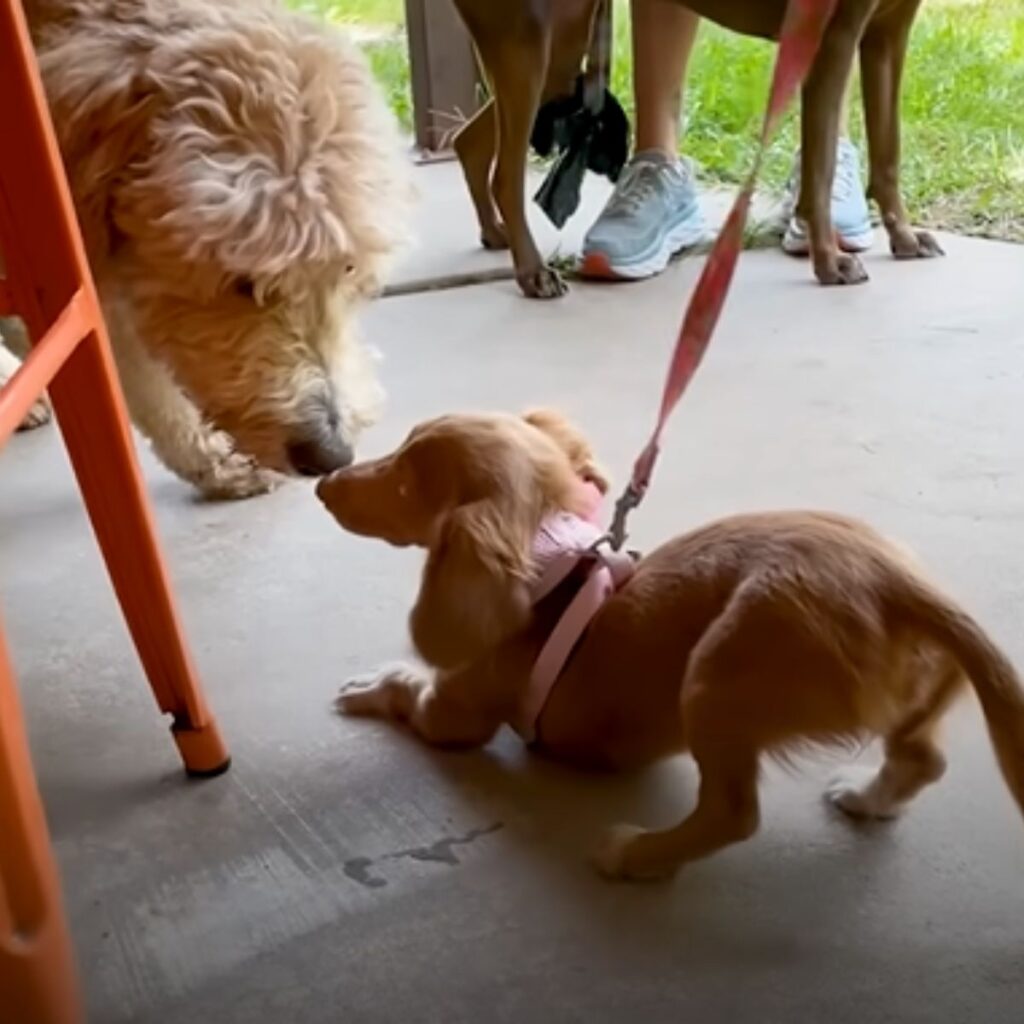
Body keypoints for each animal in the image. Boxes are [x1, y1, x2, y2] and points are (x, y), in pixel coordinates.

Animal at [315, 407, 1019, 880]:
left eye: (405, 481)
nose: (323, 482)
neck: (551, 564)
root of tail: (900, 587)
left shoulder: (453, 716)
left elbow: (411, 690)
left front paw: (371, 686)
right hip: (911, 694)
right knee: (923, 759)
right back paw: (868, 798)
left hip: (715, 675)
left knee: (734, 814)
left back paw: (637, 854)